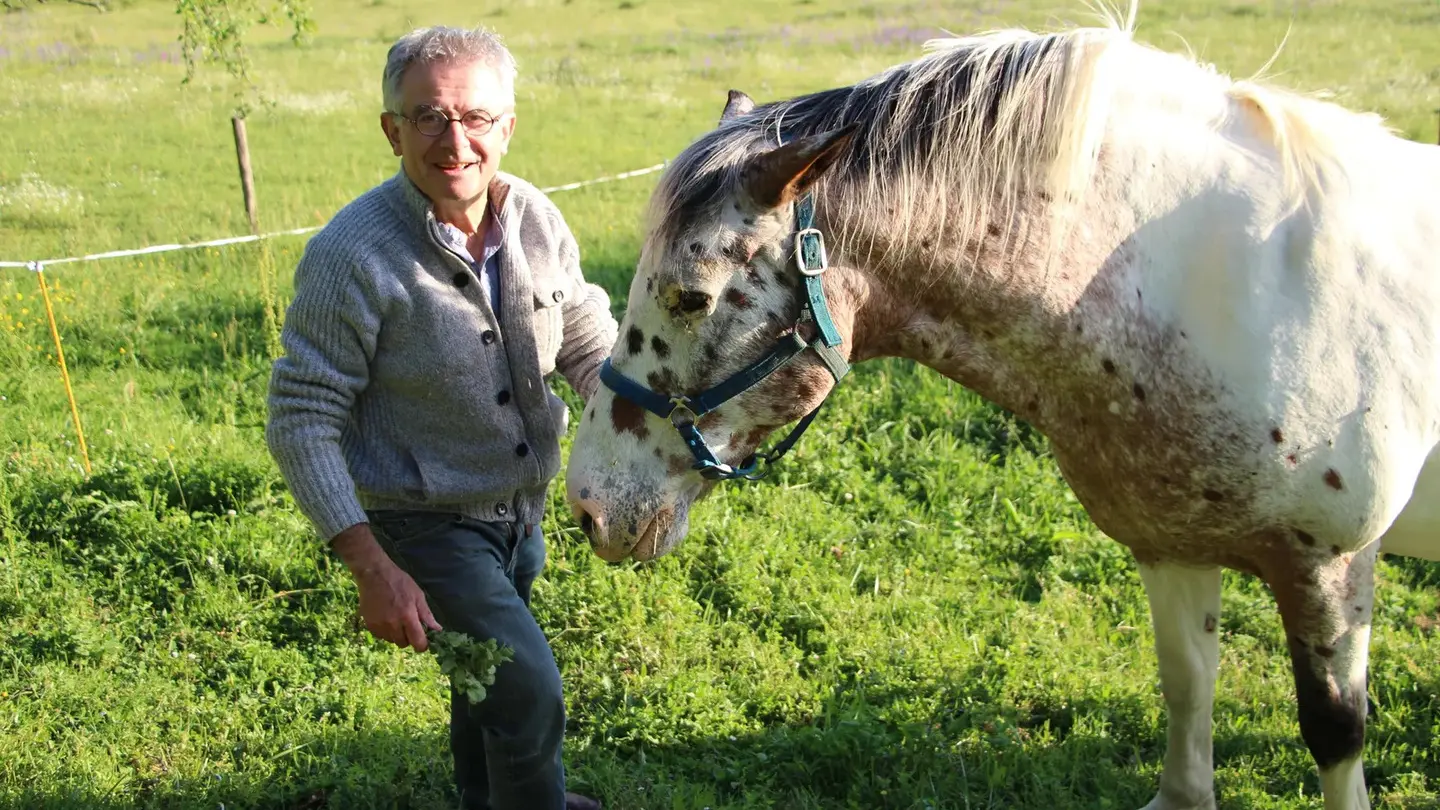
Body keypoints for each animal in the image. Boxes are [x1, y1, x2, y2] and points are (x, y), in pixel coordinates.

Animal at [563, 4, 1440, 808]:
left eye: (691, 295)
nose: (589, 507)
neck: (1219, 290)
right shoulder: (1172, 545)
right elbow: (1187, 687)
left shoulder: (1329, 564)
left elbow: (1334, 731)